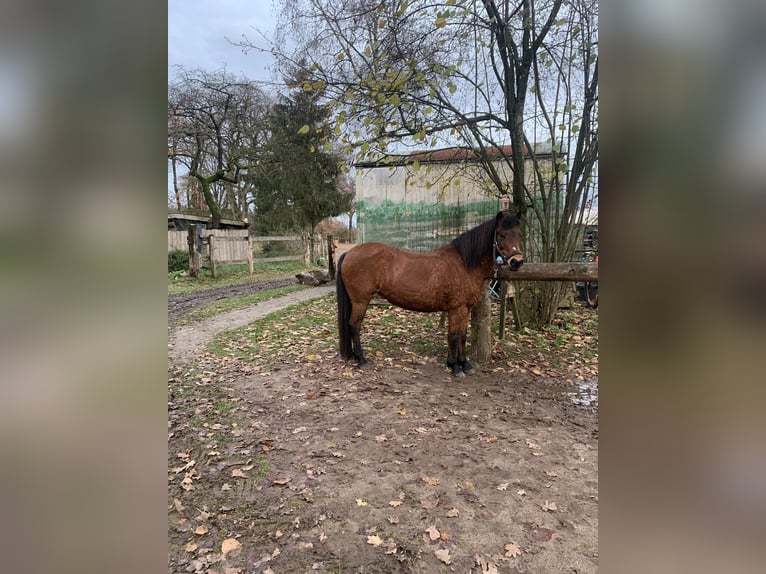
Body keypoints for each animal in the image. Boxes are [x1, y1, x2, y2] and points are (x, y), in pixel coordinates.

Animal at [338, 212, 524, 378]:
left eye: (519, 234)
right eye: (501, 235)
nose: (517, 262)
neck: (464, 264)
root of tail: (349, 253)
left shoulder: (465, 309)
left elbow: (462, 337)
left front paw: (464, 364)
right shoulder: (457, 309)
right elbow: (454, 337)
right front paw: (455, 367)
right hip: (360, 301)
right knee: (354, 326)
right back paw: (361, 359)